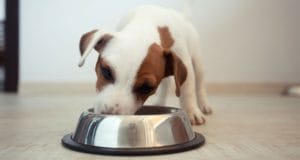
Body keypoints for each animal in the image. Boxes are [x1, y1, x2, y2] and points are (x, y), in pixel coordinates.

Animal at [78, 5, 212, 125]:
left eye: (146, 87)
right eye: (106, 71)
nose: (110, 115)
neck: (145, 24)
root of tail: (183, 15)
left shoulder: (184, 61)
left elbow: (187, 90)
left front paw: (191, 111)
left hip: (197, 62)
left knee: (199, 84)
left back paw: (204, 105)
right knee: (166, 83)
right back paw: (160, 102)